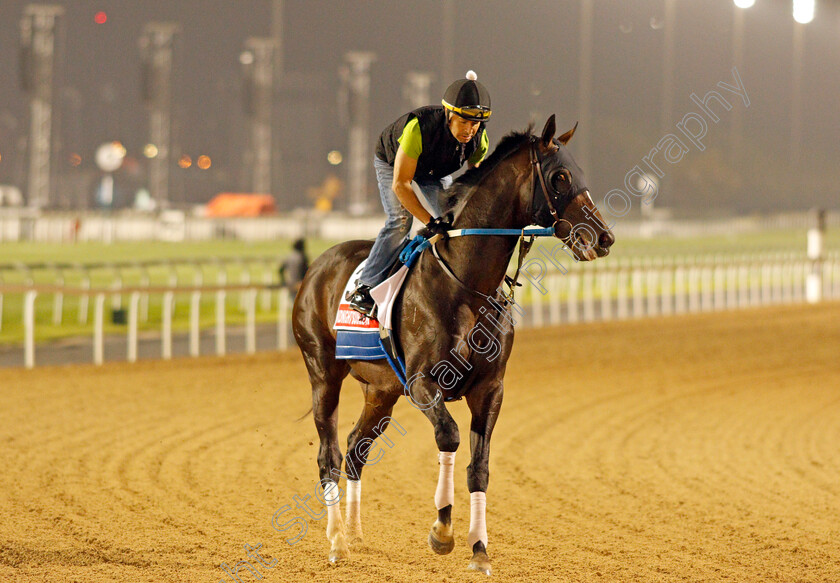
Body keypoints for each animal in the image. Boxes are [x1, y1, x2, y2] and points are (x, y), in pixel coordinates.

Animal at [292, 115, 612, 576]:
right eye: (561, 176)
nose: (604, 238)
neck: (466, 285)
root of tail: (318, 265)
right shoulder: (423, 383)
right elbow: (449, 436)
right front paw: (442, 532)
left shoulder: (490, 389)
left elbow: (480, 467)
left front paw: (479, 550)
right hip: (323, 375)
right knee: (329, 455)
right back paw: (336, 542)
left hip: (381, 391)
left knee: (355, 449)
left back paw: (354, 535)